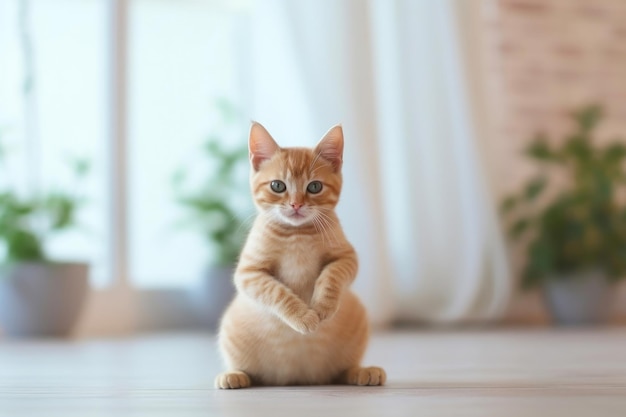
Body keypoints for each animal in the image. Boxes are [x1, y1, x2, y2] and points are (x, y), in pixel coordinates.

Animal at [214, 122, 382, 388]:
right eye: (277, 186)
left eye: (314, 187)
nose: (296, 205)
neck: (297, 234)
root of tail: (298, 378)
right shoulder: (250, 273)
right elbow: (278, 293)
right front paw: (303, 317)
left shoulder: (347, 258)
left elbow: (332, 276)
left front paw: (323, 306)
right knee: (250, 373)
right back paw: (234, 375)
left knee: (341, 372)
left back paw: (362, 371)